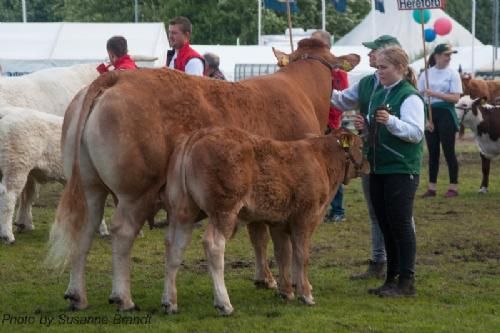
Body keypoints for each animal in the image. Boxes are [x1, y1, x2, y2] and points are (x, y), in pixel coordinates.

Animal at [47, 39, 360, 312]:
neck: (302, 90)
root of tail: (115, 78)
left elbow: (259, 236)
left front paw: (266, 279)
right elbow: (282, 243)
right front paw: (291, 285)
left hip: (89, 186)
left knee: (84, 230)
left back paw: (77, 294)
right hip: (135, 193)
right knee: (122, 233)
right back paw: (123, 298)